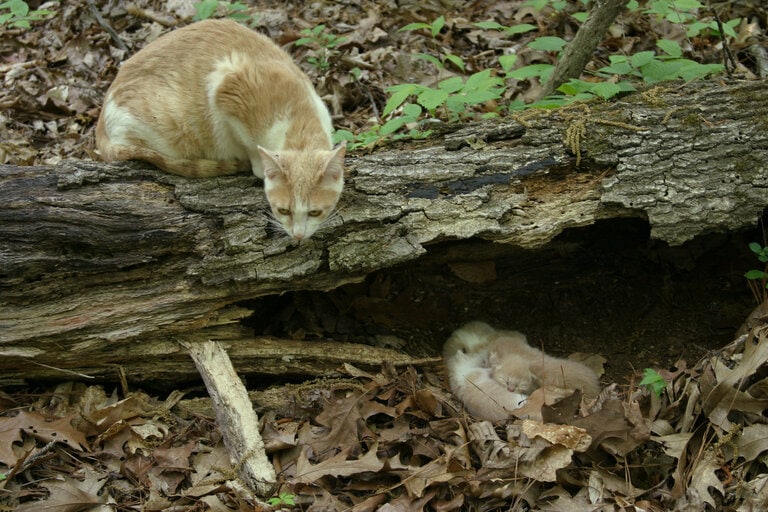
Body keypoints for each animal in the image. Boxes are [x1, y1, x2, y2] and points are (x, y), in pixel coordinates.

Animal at [94, 17, 344, 238]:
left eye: (315, 212)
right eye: (284, 210)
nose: (298, 235)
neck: (298, 122)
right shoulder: (224, 88)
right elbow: (250, 147)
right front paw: (258, 166)